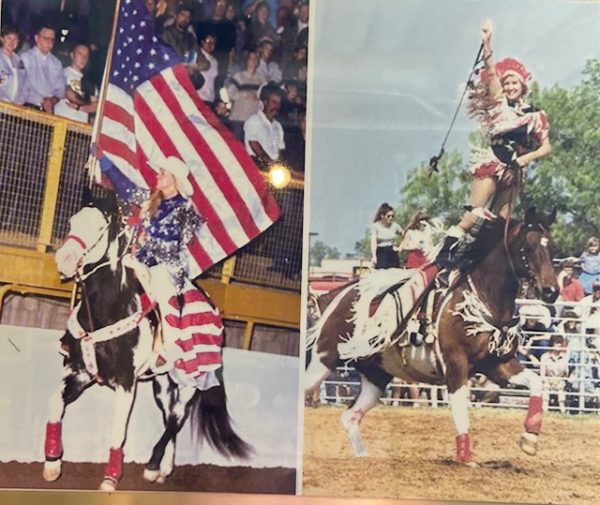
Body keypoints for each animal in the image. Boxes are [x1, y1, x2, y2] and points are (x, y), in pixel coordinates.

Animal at [42, 193, 248, 488]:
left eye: (101, 227)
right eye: (72, 221)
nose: (65, 259)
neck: (108, 310)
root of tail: (213, 308)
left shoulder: (127, 382)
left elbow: (118, 431)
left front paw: (111, 478)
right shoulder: (79, 372)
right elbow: (55, 404)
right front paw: (52, 463)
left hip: (190, 381)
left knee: (177, 416)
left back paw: (152, 467)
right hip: (162, 382)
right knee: (171, 416)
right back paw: (164, 469)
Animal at [308, 207, 560, 462]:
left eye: (552, 248)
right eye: (528, 248)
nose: (551, 291)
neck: (479, 297)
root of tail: (340, 295)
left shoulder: (498, 364)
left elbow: (536, 382)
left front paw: (530, 438)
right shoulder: (456, 364)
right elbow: (460, 408)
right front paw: (466, 457)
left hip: (375, 374)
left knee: (350, 416)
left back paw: (362, 457)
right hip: (325, 357)